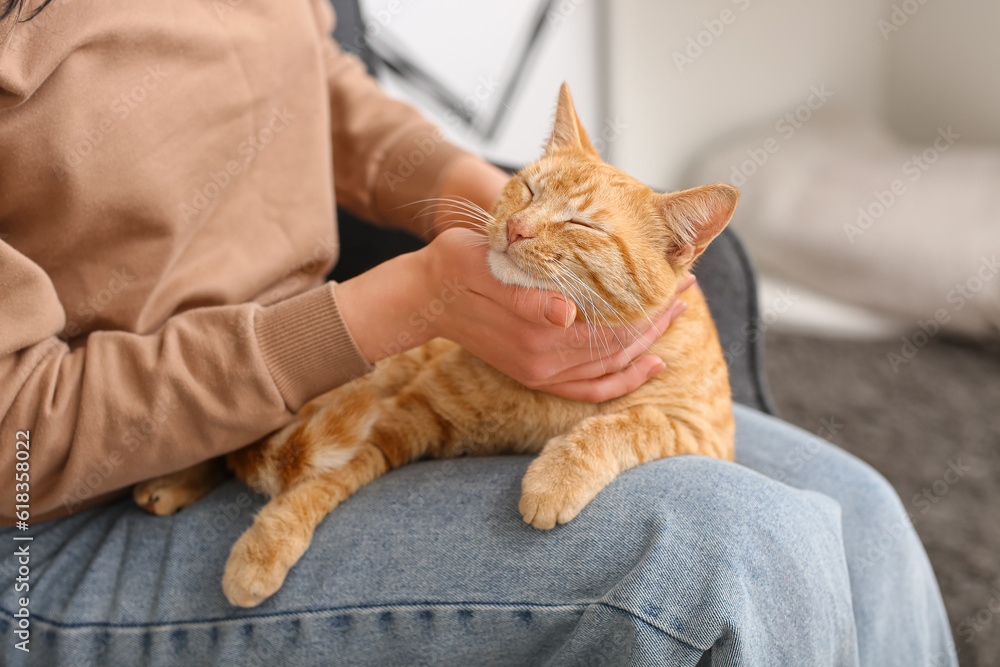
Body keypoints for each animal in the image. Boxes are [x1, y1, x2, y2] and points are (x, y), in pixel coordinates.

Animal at [133, 85, 740, 612]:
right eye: (528, 189)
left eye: (581, 223)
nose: (517, 228)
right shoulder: (403, 420)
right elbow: (324, 480)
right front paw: (265, 548)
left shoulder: (700, 431)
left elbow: (622, 425)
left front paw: (553, 480)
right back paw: (171, 478)